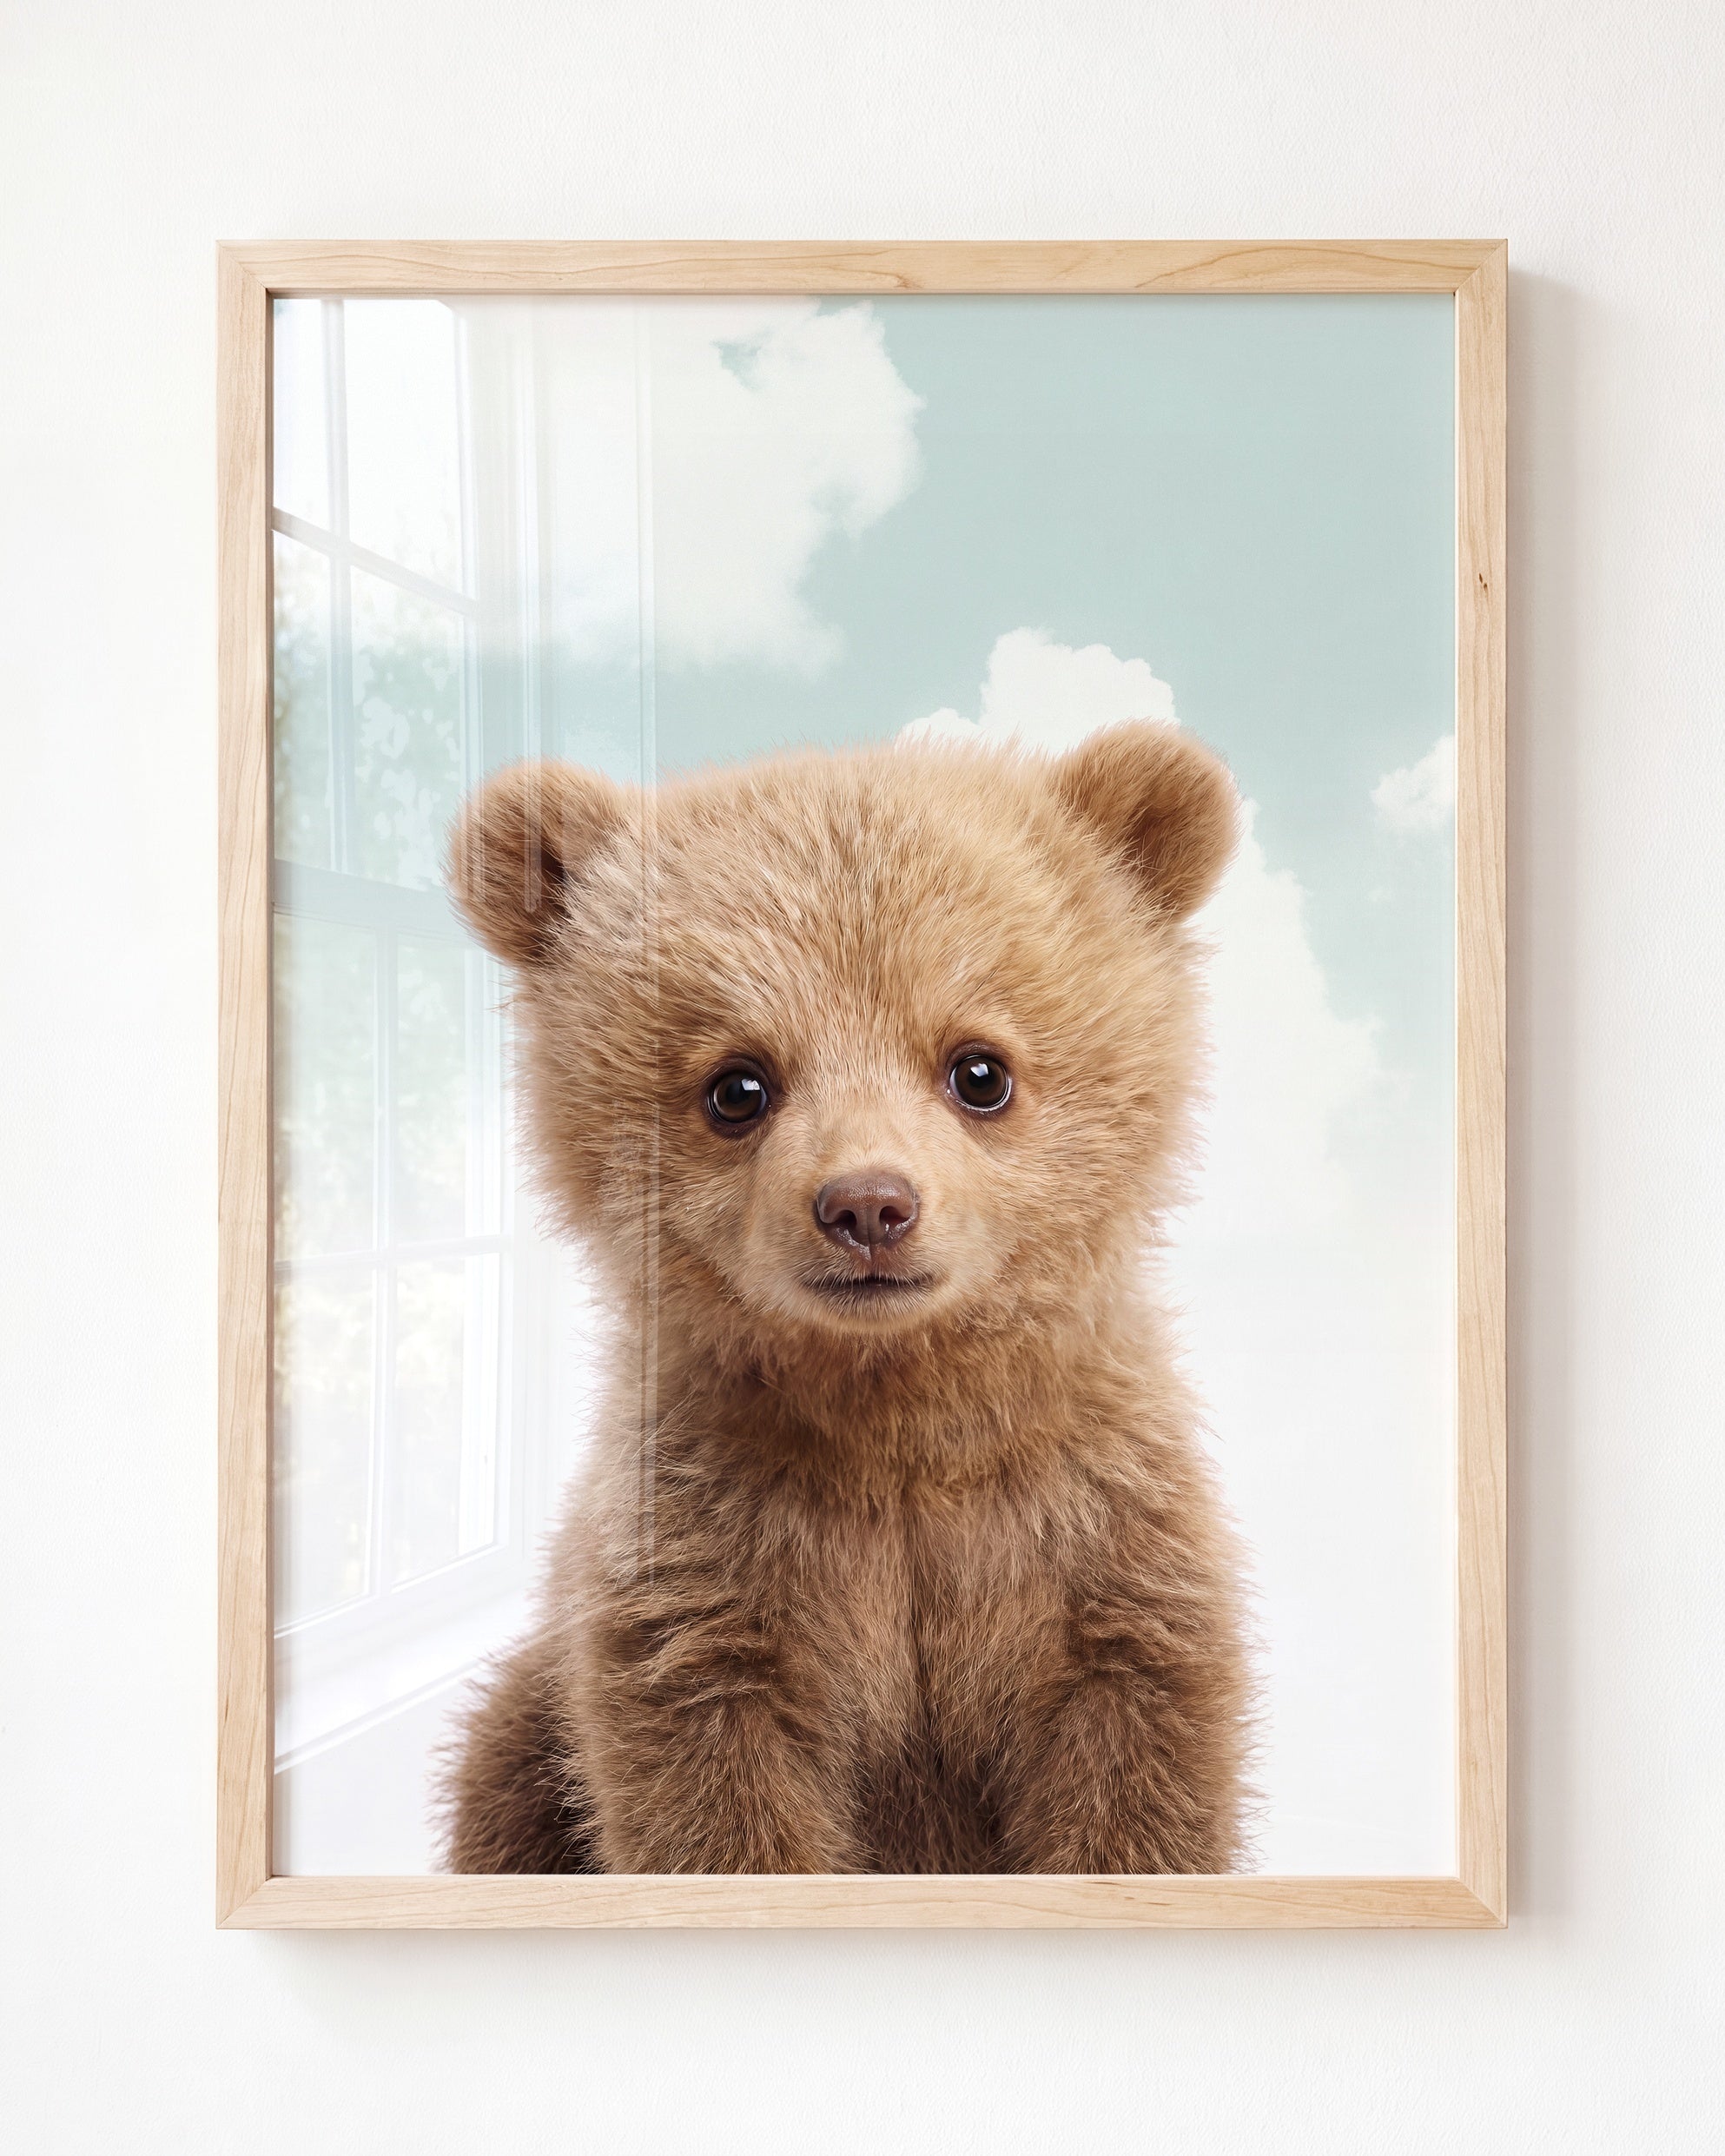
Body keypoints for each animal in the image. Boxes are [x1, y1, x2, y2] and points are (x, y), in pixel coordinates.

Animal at [437, 721, 1255, 1875]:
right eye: (737, 1085)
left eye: (980, 1069)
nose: (868, 1204)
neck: (896, 1415)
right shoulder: (708, 1575)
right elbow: (715, 1801)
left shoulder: (1095, 1549)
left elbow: (1136, 1784)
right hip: (528, 1727)